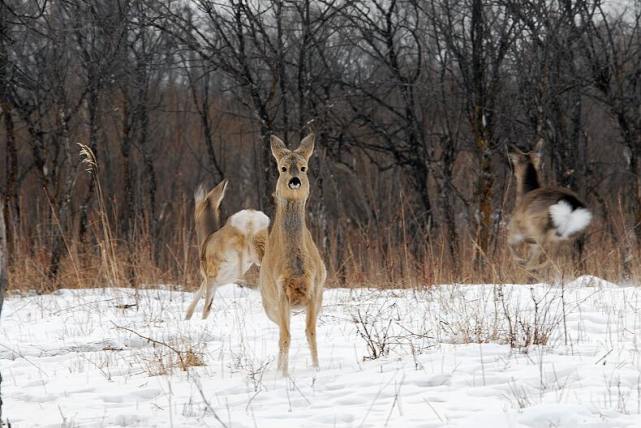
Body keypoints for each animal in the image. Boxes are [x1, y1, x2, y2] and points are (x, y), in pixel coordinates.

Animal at [184, 179, 268, 320]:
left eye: (197, 206)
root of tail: (251, 216)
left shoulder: (210, 276)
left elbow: (206, 306)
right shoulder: (210, 279)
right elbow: (197, 295)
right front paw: (187, 316)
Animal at [258, 133, 324, 374]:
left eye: (304, 168)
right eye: (283, 168)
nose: (294, 181)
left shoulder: (314, 290)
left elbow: (311, 333)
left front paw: (316, 368)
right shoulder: (280, 293)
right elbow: (285, 337)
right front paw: (283, 375)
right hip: (269, 306)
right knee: (280, 333)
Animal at [504, 140, 592, 272]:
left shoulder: (515, 226)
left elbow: (509, 243)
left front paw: (520, 261)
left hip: (541, 230)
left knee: (538, 261)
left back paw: (529, 267)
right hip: (569, 238)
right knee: (553, 261)